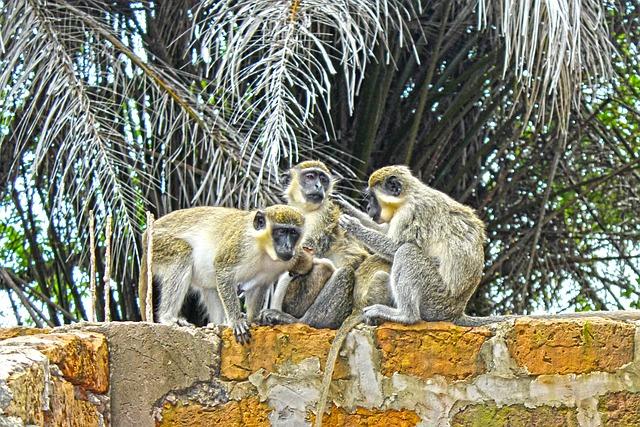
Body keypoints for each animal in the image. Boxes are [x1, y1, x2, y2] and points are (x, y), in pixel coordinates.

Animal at [139, 205, 308, 344]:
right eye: (281, 231)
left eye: (293, 233)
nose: (288, 246)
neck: (263, 249)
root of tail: (146, 235)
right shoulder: (240, 245)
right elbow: (223, 271)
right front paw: (236, 321)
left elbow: (259, 286)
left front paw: (253, 320)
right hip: (157, 244)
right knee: (182, 253)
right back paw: (167, 317)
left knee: (210, 288)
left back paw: (219, 323)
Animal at [256, 162, 368, 330]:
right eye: (310, 177)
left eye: (323, 179)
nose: (318, 186)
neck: (307, 211)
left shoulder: (320, 218)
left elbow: (305, 257)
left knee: (343, 272)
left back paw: (300, 321)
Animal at [314, 166, 484, 426]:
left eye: (372, 197)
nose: (369, 208)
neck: (409, 195)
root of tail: (457, 310)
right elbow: (385, 231)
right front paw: (346, 206)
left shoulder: (411, 213)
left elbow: (396, 247)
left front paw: (355, 226)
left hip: (436, 298)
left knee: (406, 252)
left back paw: (404, 315)